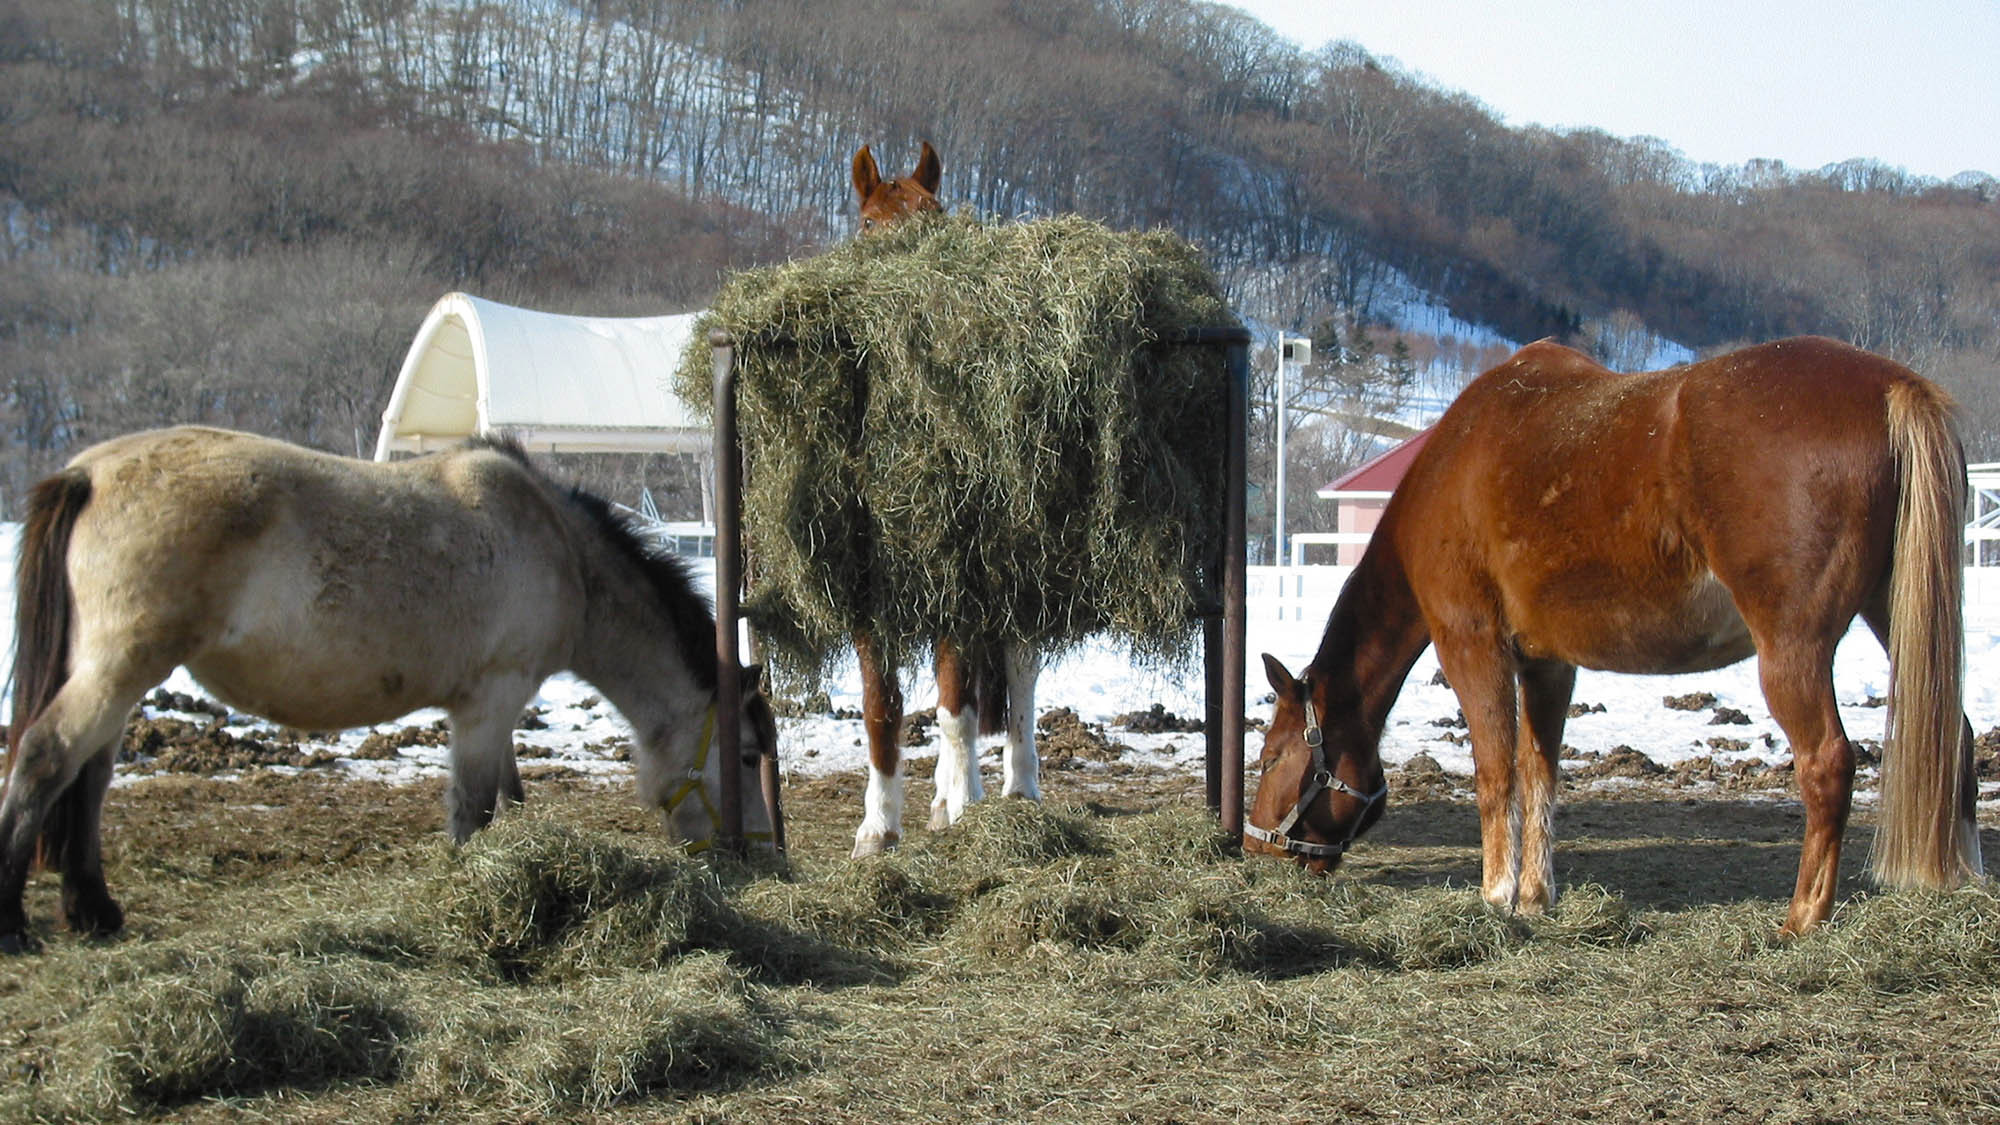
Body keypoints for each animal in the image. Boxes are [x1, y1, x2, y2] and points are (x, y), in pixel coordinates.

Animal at [840, 144, 1048, 852]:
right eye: (869, 225)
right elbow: (883, 711)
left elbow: (960, 709)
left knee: (1015, 682)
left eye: (936, 218)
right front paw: (878, 827)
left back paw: (1016, 788)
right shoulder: (870, 604)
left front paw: (966, 805)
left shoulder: (959, 592)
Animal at [1248, 336, 1984, 932]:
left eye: (1273, 754)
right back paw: (1958, 884)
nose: (1255, 844)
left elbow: (1495, 772)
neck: (1454, 465)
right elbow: (1539, 773)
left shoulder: (1471, 644)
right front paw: (1535, 895)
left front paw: (1495, 896)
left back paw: (1803, 917)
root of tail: (1890, 386)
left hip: (1792, 651)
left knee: (1828, 763)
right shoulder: (1547, 664)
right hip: (1892, 616)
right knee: (1955, 735)